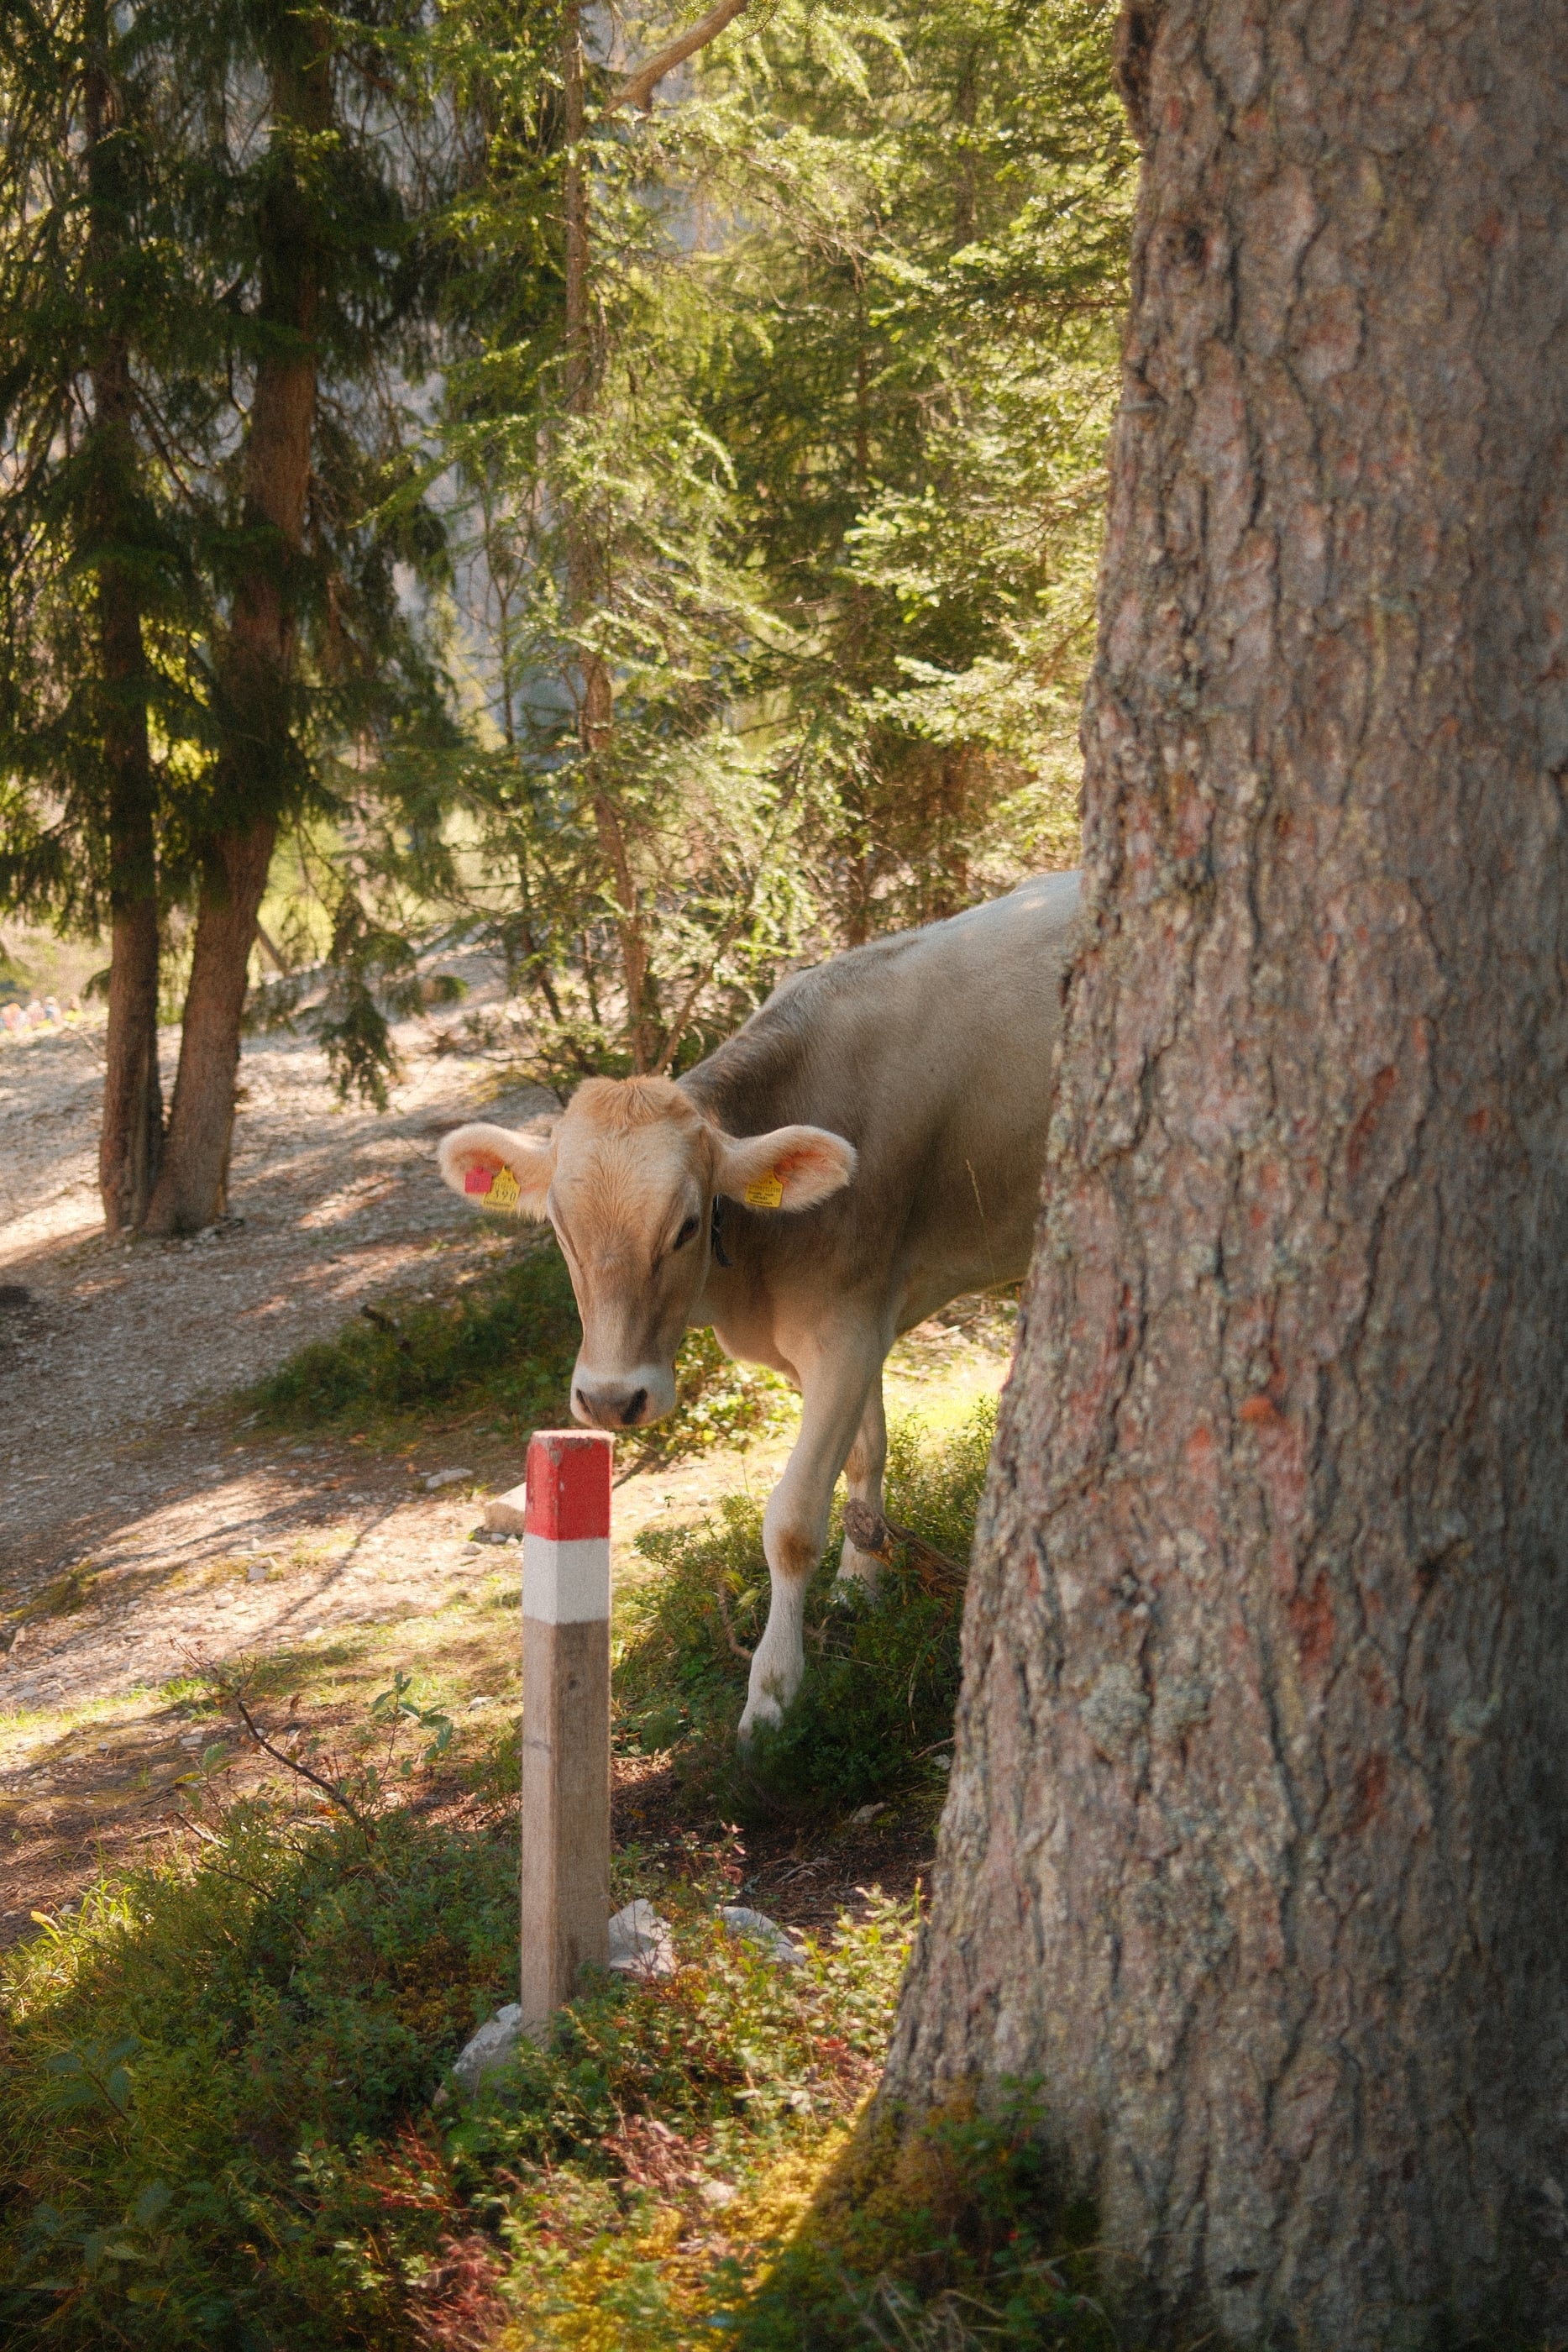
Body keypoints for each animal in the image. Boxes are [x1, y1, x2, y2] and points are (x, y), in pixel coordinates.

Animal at [437, 870, 1083, 1741]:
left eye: (684, 1224)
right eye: (561, 1231)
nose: (609, 1399)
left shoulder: (845, 1331)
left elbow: (791, 1521)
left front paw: (773, 1692)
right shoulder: (854, 1324)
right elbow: (865, 1456)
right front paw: (862, 1584)